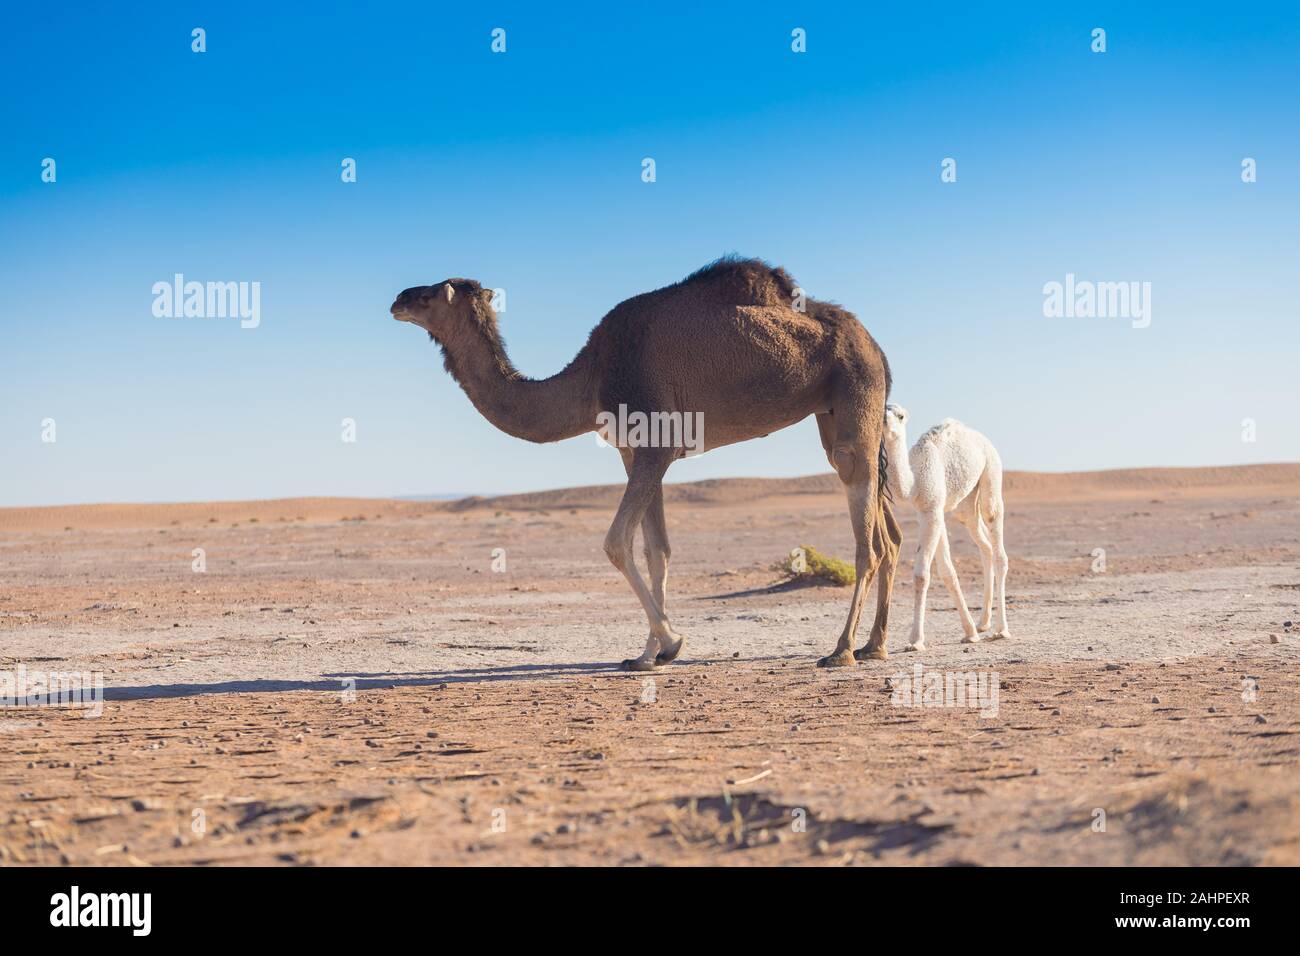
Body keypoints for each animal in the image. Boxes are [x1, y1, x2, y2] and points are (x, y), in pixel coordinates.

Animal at [390, 257, 901, 670]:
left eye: (432, 293)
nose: (397, 298)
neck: (593, 376)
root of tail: (876, 346)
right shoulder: (634, 450)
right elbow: (657, 551)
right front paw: (647, 655)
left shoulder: (658, 441)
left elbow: (617, 542)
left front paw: (672, 642)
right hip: (833, 414)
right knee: (886, 531)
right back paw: (874, 646)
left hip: (856, 393)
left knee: (868, 537)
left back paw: (841, 650)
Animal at [881, 404, 1010, 651]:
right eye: (881, 409)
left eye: (900, 415)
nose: (884, 420)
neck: (915, 483)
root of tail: (979, 436)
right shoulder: (931, 511)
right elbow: (947, 571)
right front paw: (970, 632)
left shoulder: (932, 510)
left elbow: (922, 574)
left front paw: (915, 640)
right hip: (965, 505)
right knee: (984, 544)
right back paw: (982, 622)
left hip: (991, 471)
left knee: (996, 535)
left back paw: (1001, 630)